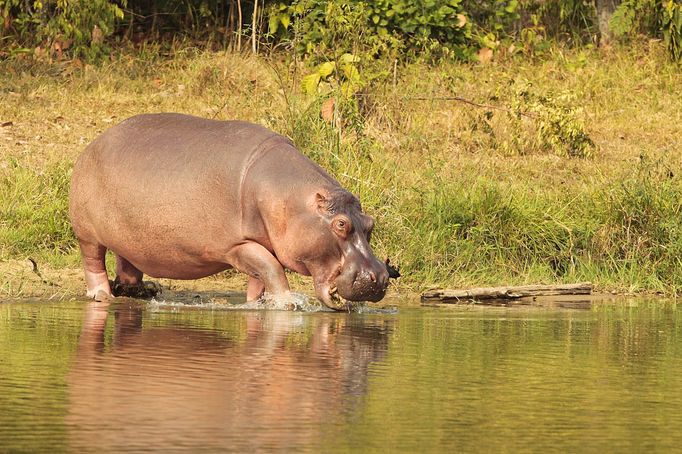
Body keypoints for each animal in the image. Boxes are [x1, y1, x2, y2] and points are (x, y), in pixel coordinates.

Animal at [67, 114, 394, 312]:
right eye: (340, 224)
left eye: (370, 223)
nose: (378, 277)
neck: (291, 201)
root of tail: (93, 143)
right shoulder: (237, 246)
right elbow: (271, 268)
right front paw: (287, 304)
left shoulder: (262, 243)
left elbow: (262, 276)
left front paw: (258, 304)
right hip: (87, 233)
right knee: (93, 261)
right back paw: (103, 295)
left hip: (130, 234)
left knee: (127, 261)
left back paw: (142, 291)